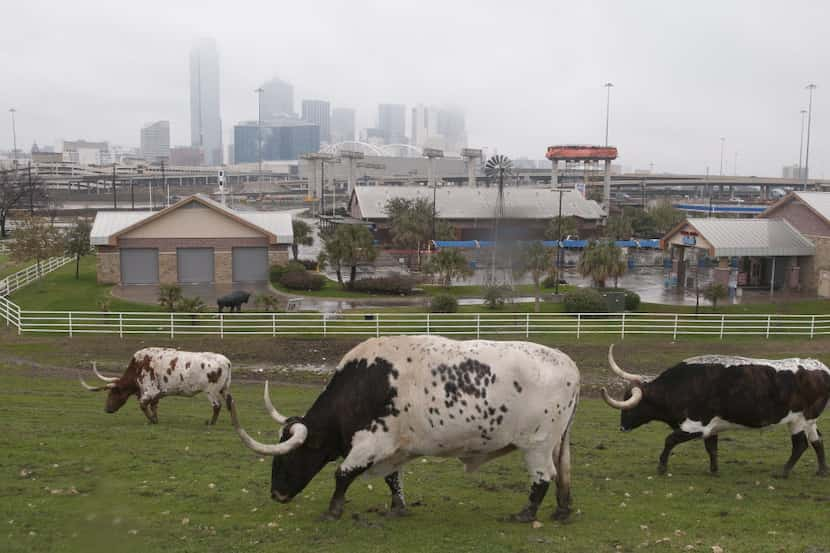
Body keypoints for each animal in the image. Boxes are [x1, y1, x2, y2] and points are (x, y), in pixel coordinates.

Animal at [79, 348, 232, 424]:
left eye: (113, 393)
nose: (107, 409)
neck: (138, 367)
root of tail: (226, 361)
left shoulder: (150, 391)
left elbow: (142, 405)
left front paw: (152, 420)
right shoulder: (157, 393)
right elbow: (153, 406)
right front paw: (155, 419)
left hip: (211, 391)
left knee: (217, 406)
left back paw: (211, 423)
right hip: (223, 389)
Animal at [226, 334, 580, 520]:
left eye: (288, 456)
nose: (277, 494)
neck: (363, 385)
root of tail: (569, 365)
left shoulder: (372, 442)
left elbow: (342, 473)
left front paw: (333, 509)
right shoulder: (395, 447)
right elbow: (392, 479)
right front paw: (397, 507)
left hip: (536, 445)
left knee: (542, 477)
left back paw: (526, 514)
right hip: (554, 444)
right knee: (561, 474)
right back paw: (561, 510)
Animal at [604, 344, 830, 474]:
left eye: (631, 404)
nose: (622, 426)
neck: (680, 385)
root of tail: (821, 368)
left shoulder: (696, 426)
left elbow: (669, 440)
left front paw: (661, 467)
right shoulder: (711, 428)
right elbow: (711, 448)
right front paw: (714, 470)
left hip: (798, 420)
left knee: (800, 445)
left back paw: (784, 471)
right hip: (809, 420)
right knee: (817, 440)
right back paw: (821, 471)